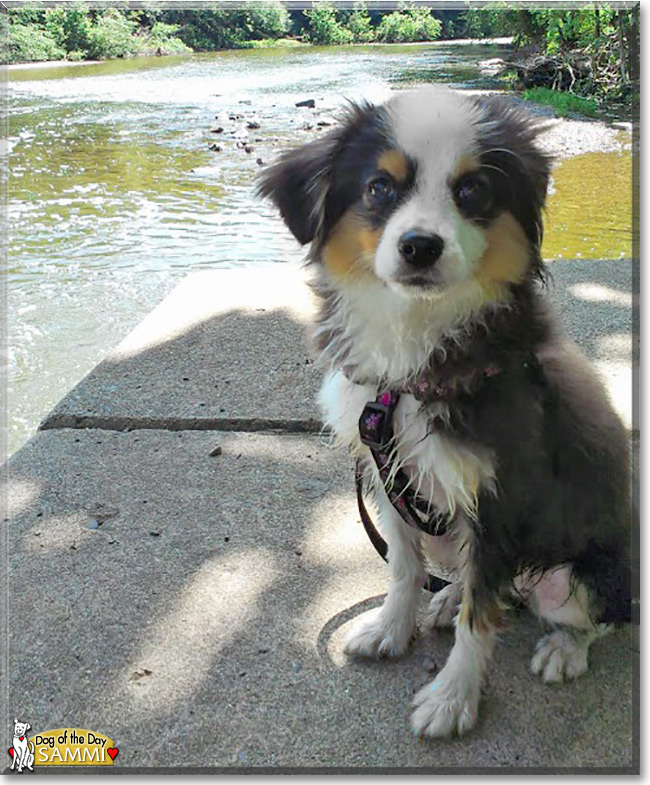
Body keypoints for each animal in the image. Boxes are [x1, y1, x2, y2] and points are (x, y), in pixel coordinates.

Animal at [256, 89, 628, 740]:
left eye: (473, 190)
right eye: (379, 187)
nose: (420, 246)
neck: (416, 348)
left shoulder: (502, 496)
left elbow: (480, 619)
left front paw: (453, 700)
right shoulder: (389, 472)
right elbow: (404, 565)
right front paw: (391, 628)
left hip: (581, 573)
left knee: (594, 615)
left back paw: (564, 648)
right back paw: (446, 597)